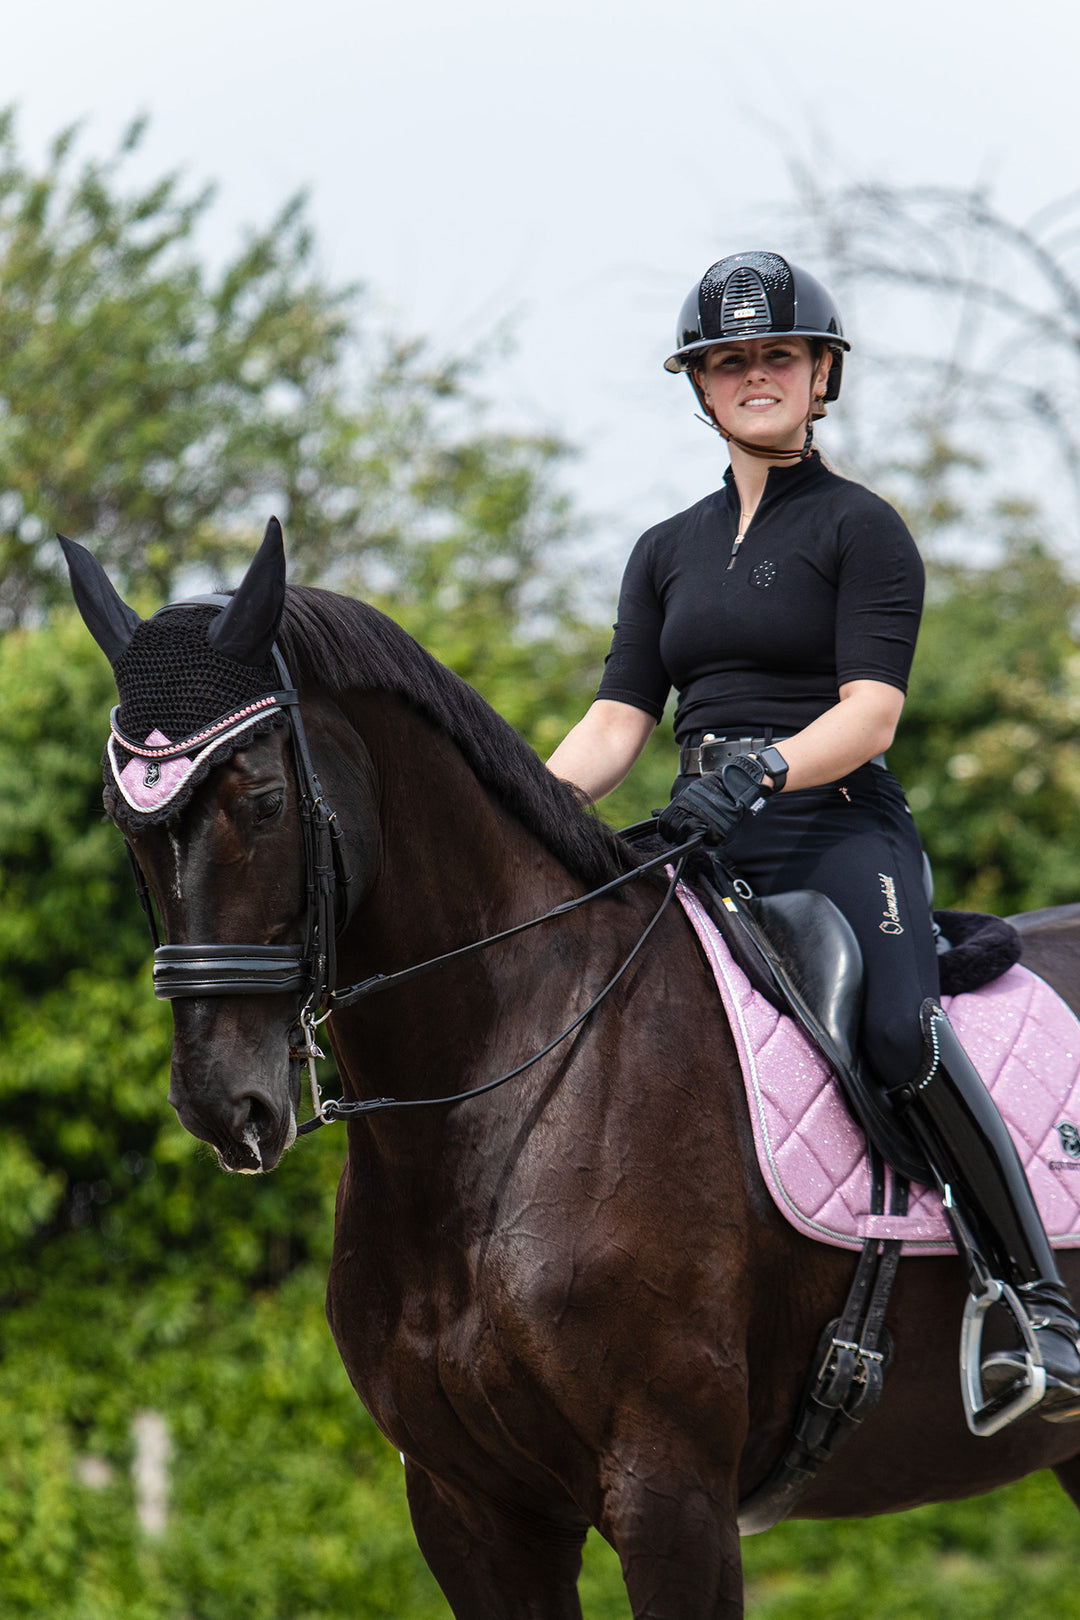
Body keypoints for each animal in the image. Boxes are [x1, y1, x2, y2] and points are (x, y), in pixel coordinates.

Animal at [63, 524, 1080, 1613]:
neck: (493, 1106)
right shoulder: (469, 1509)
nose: (224, 1104)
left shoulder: (670, 1493)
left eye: (260, 802)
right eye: (122, 819)